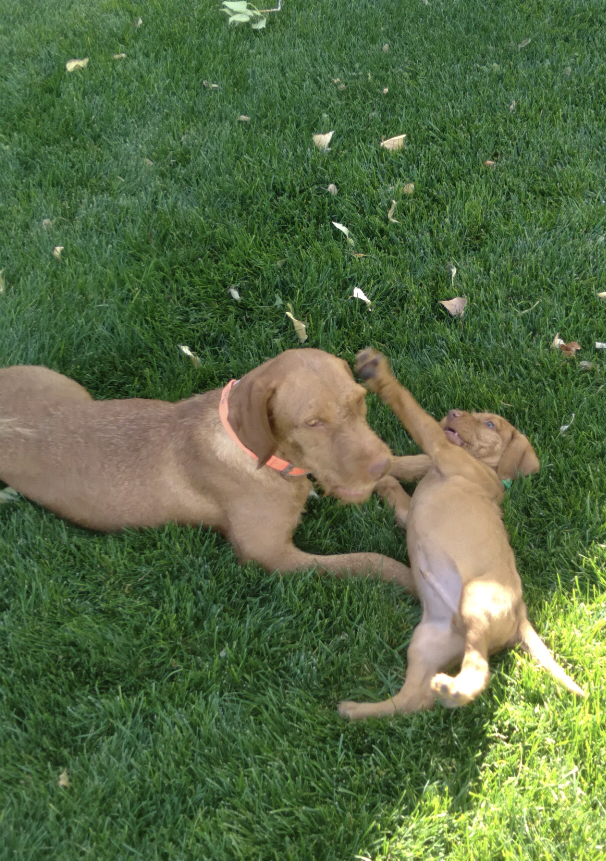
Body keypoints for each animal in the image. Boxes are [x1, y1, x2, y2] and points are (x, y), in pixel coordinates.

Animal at [0, 348, 432, 584]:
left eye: (360, 401)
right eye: (313, 423)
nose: (377, 465)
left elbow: (401, 468)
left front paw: (424, 461)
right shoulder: (271, 556)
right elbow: (370, 561)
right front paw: (415, 583)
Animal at [340, 350, 588, 720]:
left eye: (490, 424)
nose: (453, 412)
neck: (486, 469)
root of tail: (521, 616)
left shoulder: (443, 450)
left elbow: (414, 414)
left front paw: (379, 374)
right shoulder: (412, 502)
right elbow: (398, 478)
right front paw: (373, 477)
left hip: (476, 599)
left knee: (479, 669)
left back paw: (454, 689)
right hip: (427, 641)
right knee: (414, 699)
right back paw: (356, 710)